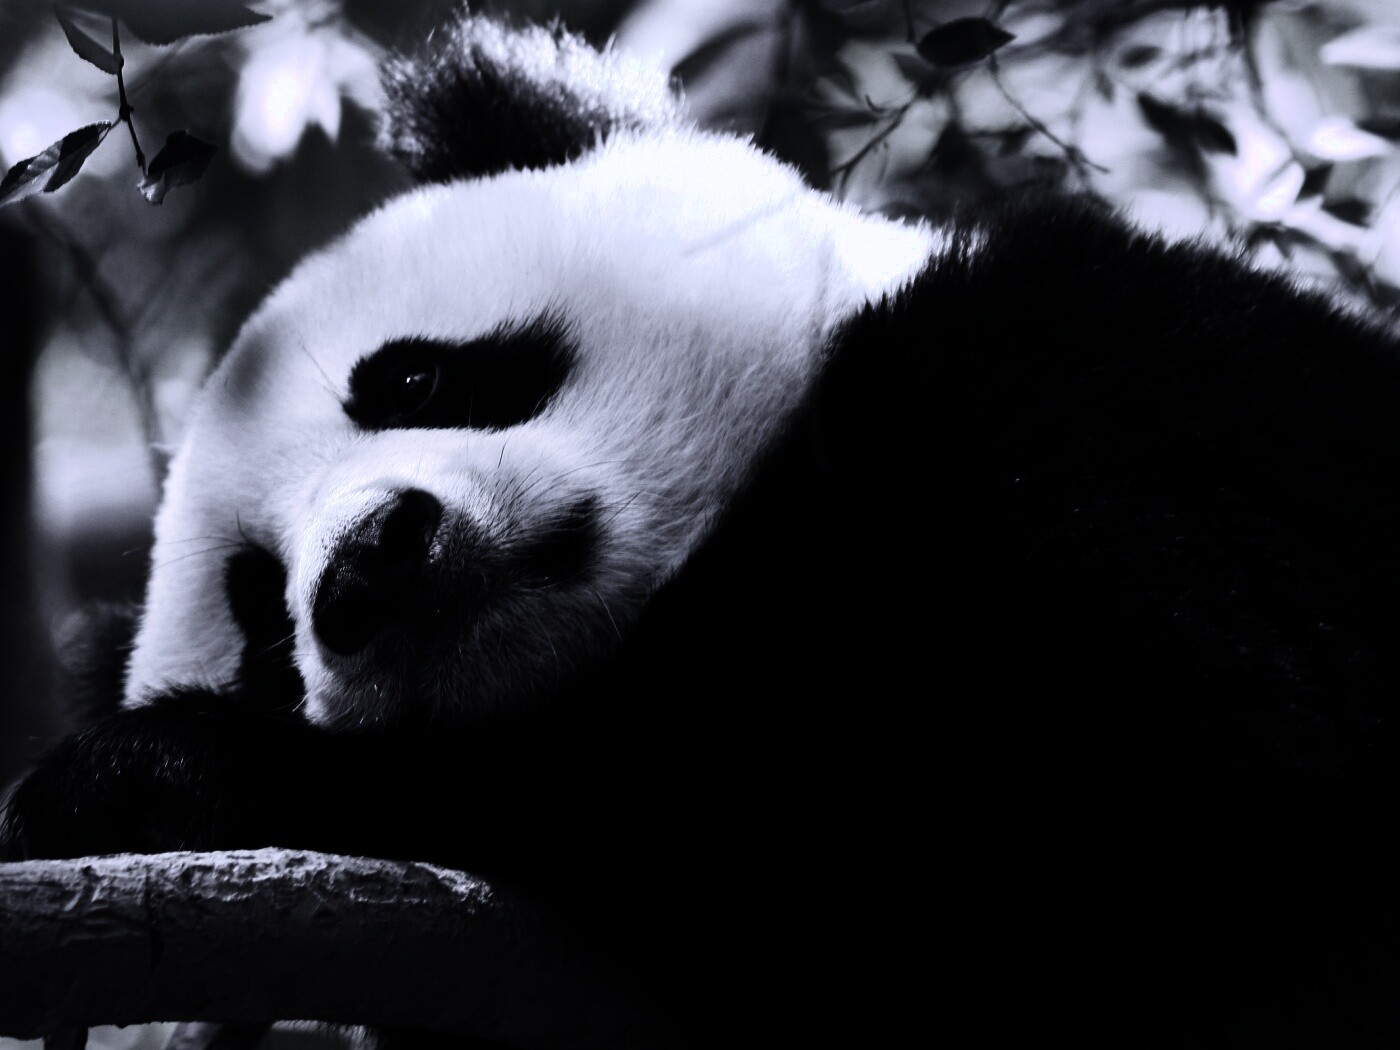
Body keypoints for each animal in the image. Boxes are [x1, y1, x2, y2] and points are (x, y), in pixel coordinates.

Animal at [10, 11, 1400, 1048]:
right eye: (259, 615)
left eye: (410, 379)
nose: (366, 568)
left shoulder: (1104, 408)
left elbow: (1061, 795)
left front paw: (155, 778)